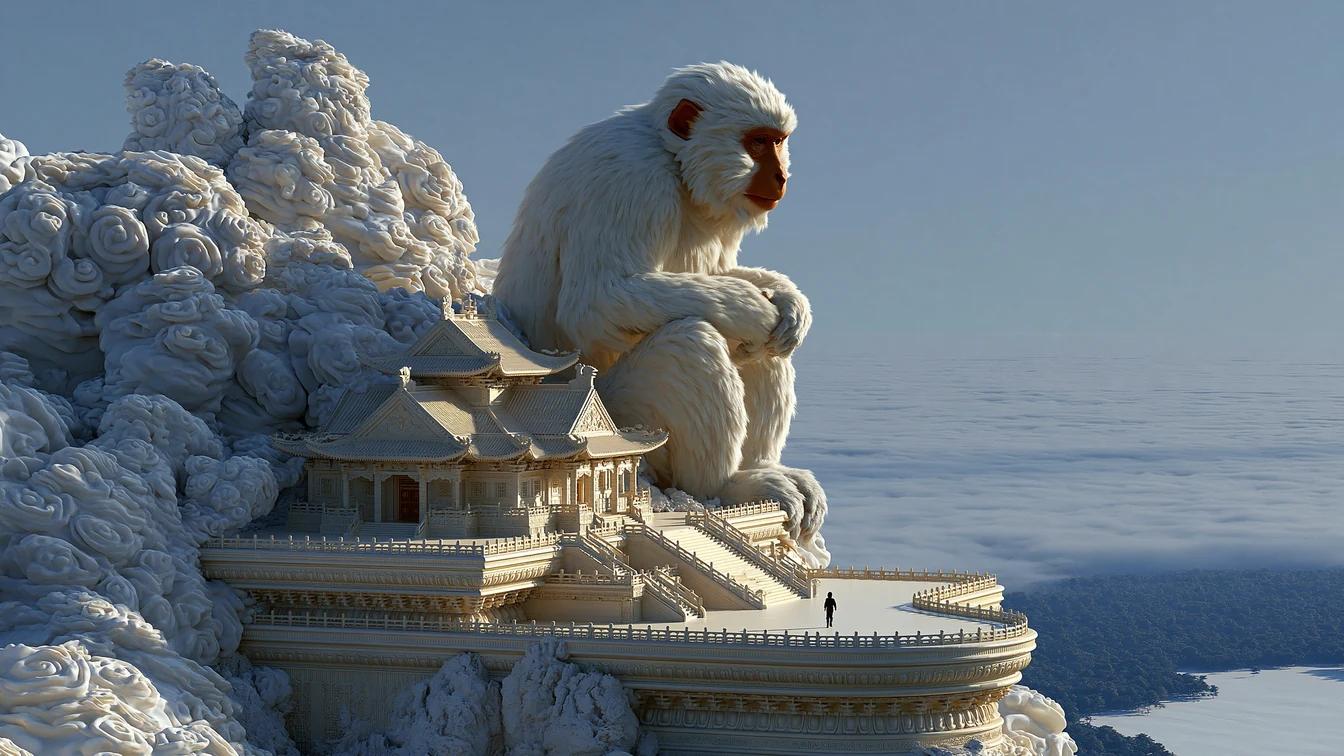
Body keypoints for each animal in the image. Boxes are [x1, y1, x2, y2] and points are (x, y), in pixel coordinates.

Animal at [493, 62, 827, 566]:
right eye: (756, 142)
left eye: (778, 140)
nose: (781, 176)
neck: (676, 163)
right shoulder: (631, 179)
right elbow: (598, 300)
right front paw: (754, 309)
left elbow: (717, 274)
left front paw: (787, 299)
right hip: (620, 424)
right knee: (692, 341)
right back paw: (726, 486)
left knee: (758, 350)